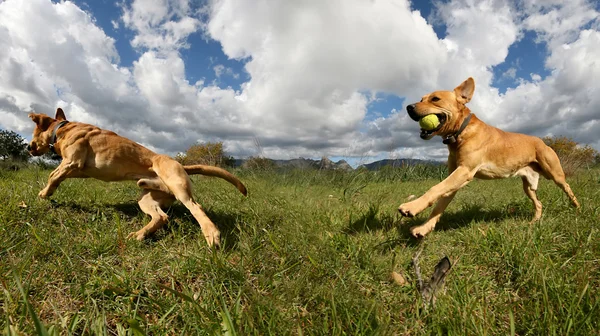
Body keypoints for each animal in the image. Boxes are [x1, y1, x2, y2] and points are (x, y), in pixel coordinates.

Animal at [27, 109, 248, 248]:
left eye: (34, 132)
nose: (28, 147)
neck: (63, 129)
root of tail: (181, 164)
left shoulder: (72, 162)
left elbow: (53, 175)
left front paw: (44, 193)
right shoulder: (78, 169)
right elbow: (56, 176)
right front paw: (47, 192)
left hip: (178, 186)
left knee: (196, 207)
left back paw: (211, 234)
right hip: (147, 199)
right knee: (161, 217)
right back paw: (140, 232)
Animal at [400, 77, 580, 238]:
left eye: (435, 99)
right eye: (421, 99)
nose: (408, 107)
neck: (461, 132)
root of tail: (542, 141)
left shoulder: (464, 171)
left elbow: (435, 188)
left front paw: (412, 206)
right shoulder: (455, 177)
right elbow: (439, 204)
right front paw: (424, 228)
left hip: (555, 174)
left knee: (568, 188)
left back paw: (577, 207)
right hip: (528, 187)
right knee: (539, 204)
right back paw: (534, 221)